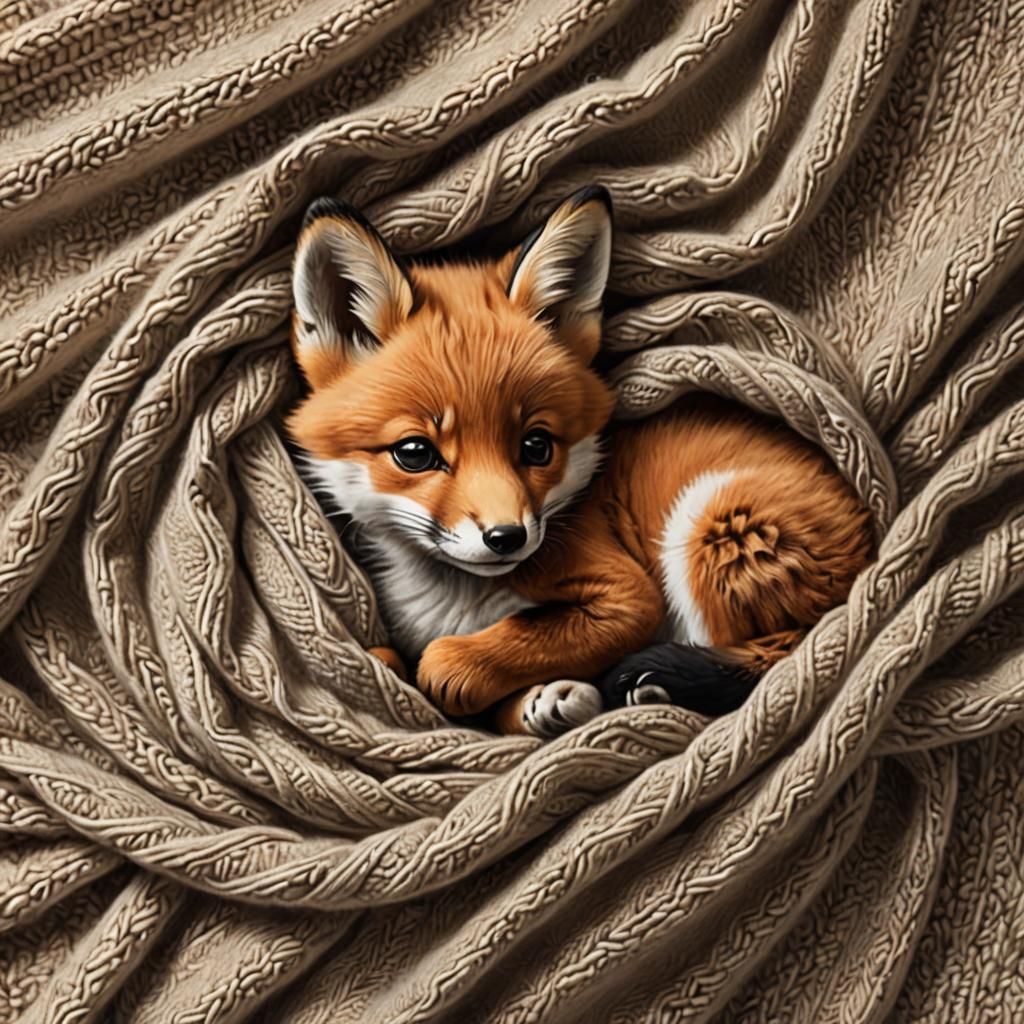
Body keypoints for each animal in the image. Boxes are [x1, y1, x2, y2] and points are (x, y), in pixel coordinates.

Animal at [287, 186, 873, 737]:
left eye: (536, 446)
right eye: (414, 453)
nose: (507, 538)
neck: (454, 602)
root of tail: (865, 533)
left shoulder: (627, 594)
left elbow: (519, 640)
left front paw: (466, 669)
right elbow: (429, 671)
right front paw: (540, 702)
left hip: (712, 527)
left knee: (768, 658)